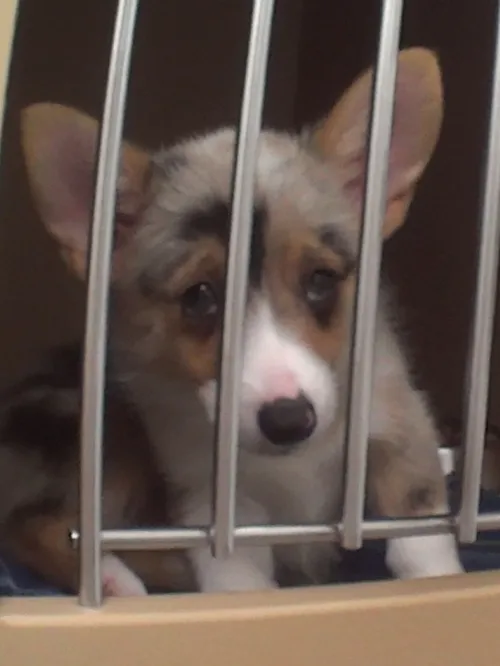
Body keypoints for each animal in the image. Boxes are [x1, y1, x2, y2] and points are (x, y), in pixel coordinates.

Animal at [19, 48, 464, 592]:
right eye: (199, 297)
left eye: (320, 280)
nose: (289, 420)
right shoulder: (213, 504)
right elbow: (239, 583)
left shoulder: (399, 427)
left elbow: (420, 539)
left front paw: (441, 583)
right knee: (40, 524)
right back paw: (116, 578)